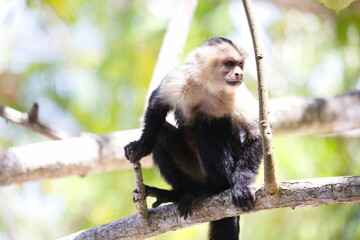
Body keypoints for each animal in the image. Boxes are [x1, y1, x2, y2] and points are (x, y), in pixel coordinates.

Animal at [125, 37, 262, 240]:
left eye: (240, 64)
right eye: (229, 64)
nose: (239, 73)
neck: (207, 87)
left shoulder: (236, 94)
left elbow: (255, 133)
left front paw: (242, 185)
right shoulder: (177, 77)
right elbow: (157, 105)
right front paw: (141, 146)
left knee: (210, 124)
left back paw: (214, 188)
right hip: (193, 174)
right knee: (162, 133)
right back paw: (177, 193)